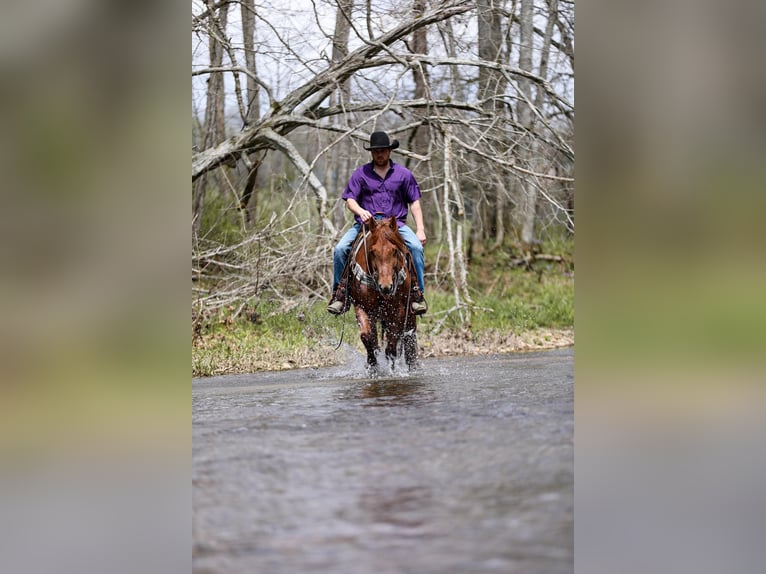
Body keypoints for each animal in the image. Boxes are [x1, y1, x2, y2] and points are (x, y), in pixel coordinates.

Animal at [350, 217, 420, 374]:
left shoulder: (398, 310)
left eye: (394, 251)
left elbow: (392, 344)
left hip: (410, 310)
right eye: (372, 251)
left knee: (409, 335)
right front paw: (372, 366)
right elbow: (367, 337)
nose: (386, 286)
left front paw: (392, 369)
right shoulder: (362, 307)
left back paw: (413, 366)